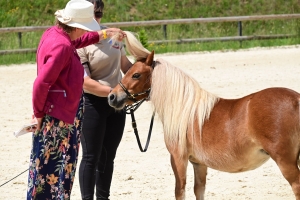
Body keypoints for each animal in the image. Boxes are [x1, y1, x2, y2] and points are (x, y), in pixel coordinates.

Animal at [109, 32, 300, 199]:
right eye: (127, 71)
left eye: (136, 74)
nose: (112, 96)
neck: (184, 110)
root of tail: (296, 99)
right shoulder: (199, 163)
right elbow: (198, 190)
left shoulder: (179, 158)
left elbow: (180, 190)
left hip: (285, 161)